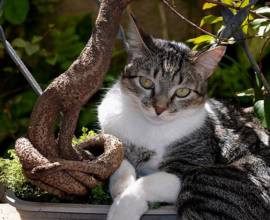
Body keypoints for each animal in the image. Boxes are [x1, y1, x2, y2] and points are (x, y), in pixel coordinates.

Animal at [97, 15, 270, 220]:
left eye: (182, 92)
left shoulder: (190, 165)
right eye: (146, 82)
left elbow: (149, 183)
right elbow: (119, 164)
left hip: (207, 181)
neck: (150, 129)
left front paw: (123, 208)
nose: (159, 108)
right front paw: (120, 188)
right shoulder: (111, 137)